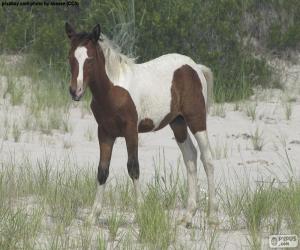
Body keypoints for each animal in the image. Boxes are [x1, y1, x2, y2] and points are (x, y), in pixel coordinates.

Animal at [65, 23, 218, 227]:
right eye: (71, 57)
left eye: (89, 58)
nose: (76, 91)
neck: (112, 90)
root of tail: (195, 67)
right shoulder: (105, 133)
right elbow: (102, 171)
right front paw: (92, 216)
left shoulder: (131, 131)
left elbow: (133, 168)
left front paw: (140, 212)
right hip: (178, 123)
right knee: (190, 158)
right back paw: (187, 216)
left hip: (196, 119)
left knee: (207, 159)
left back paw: (212, 216)